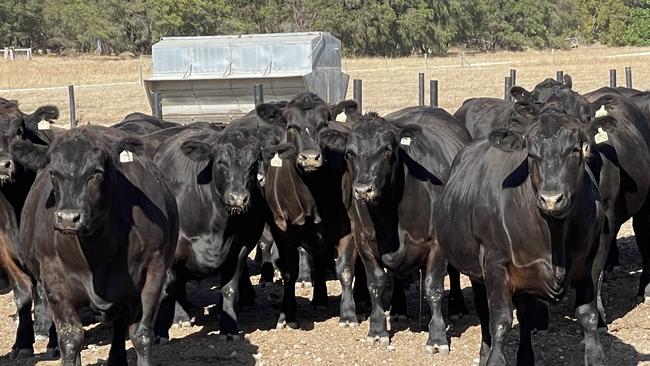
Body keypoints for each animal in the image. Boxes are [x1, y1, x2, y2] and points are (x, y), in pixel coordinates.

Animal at [12, 126, 178, 366]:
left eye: (96, 172)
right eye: (53, 173)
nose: (68, 218)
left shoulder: (154, 272)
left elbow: (142, 335)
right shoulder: (54, 281)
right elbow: (70, 339)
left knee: (120, 324)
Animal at [318, 108, 470, 352]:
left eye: (386, 150)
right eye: (349, 153)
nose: (363, 189)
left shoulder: (437, 245)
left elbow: (434, 288)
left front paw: (437, 337)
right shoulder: (363, 241)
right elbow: (375, 284)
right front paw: (377, 330)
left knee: (453, 273)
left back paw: (457, 308)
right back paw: (398, 309)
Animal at [432, 113, 616, 364]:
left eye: (575, 150)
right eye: (531, 154)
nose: (551, 199)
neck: (554, 234)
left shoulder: (592, 261)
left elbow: (588, 317)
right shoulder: (494, 264)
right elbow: (499, 323)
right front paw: (491, 357)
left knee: (526, 312)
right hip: (476, 271)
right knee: (483, 311)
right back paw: (483, 353)